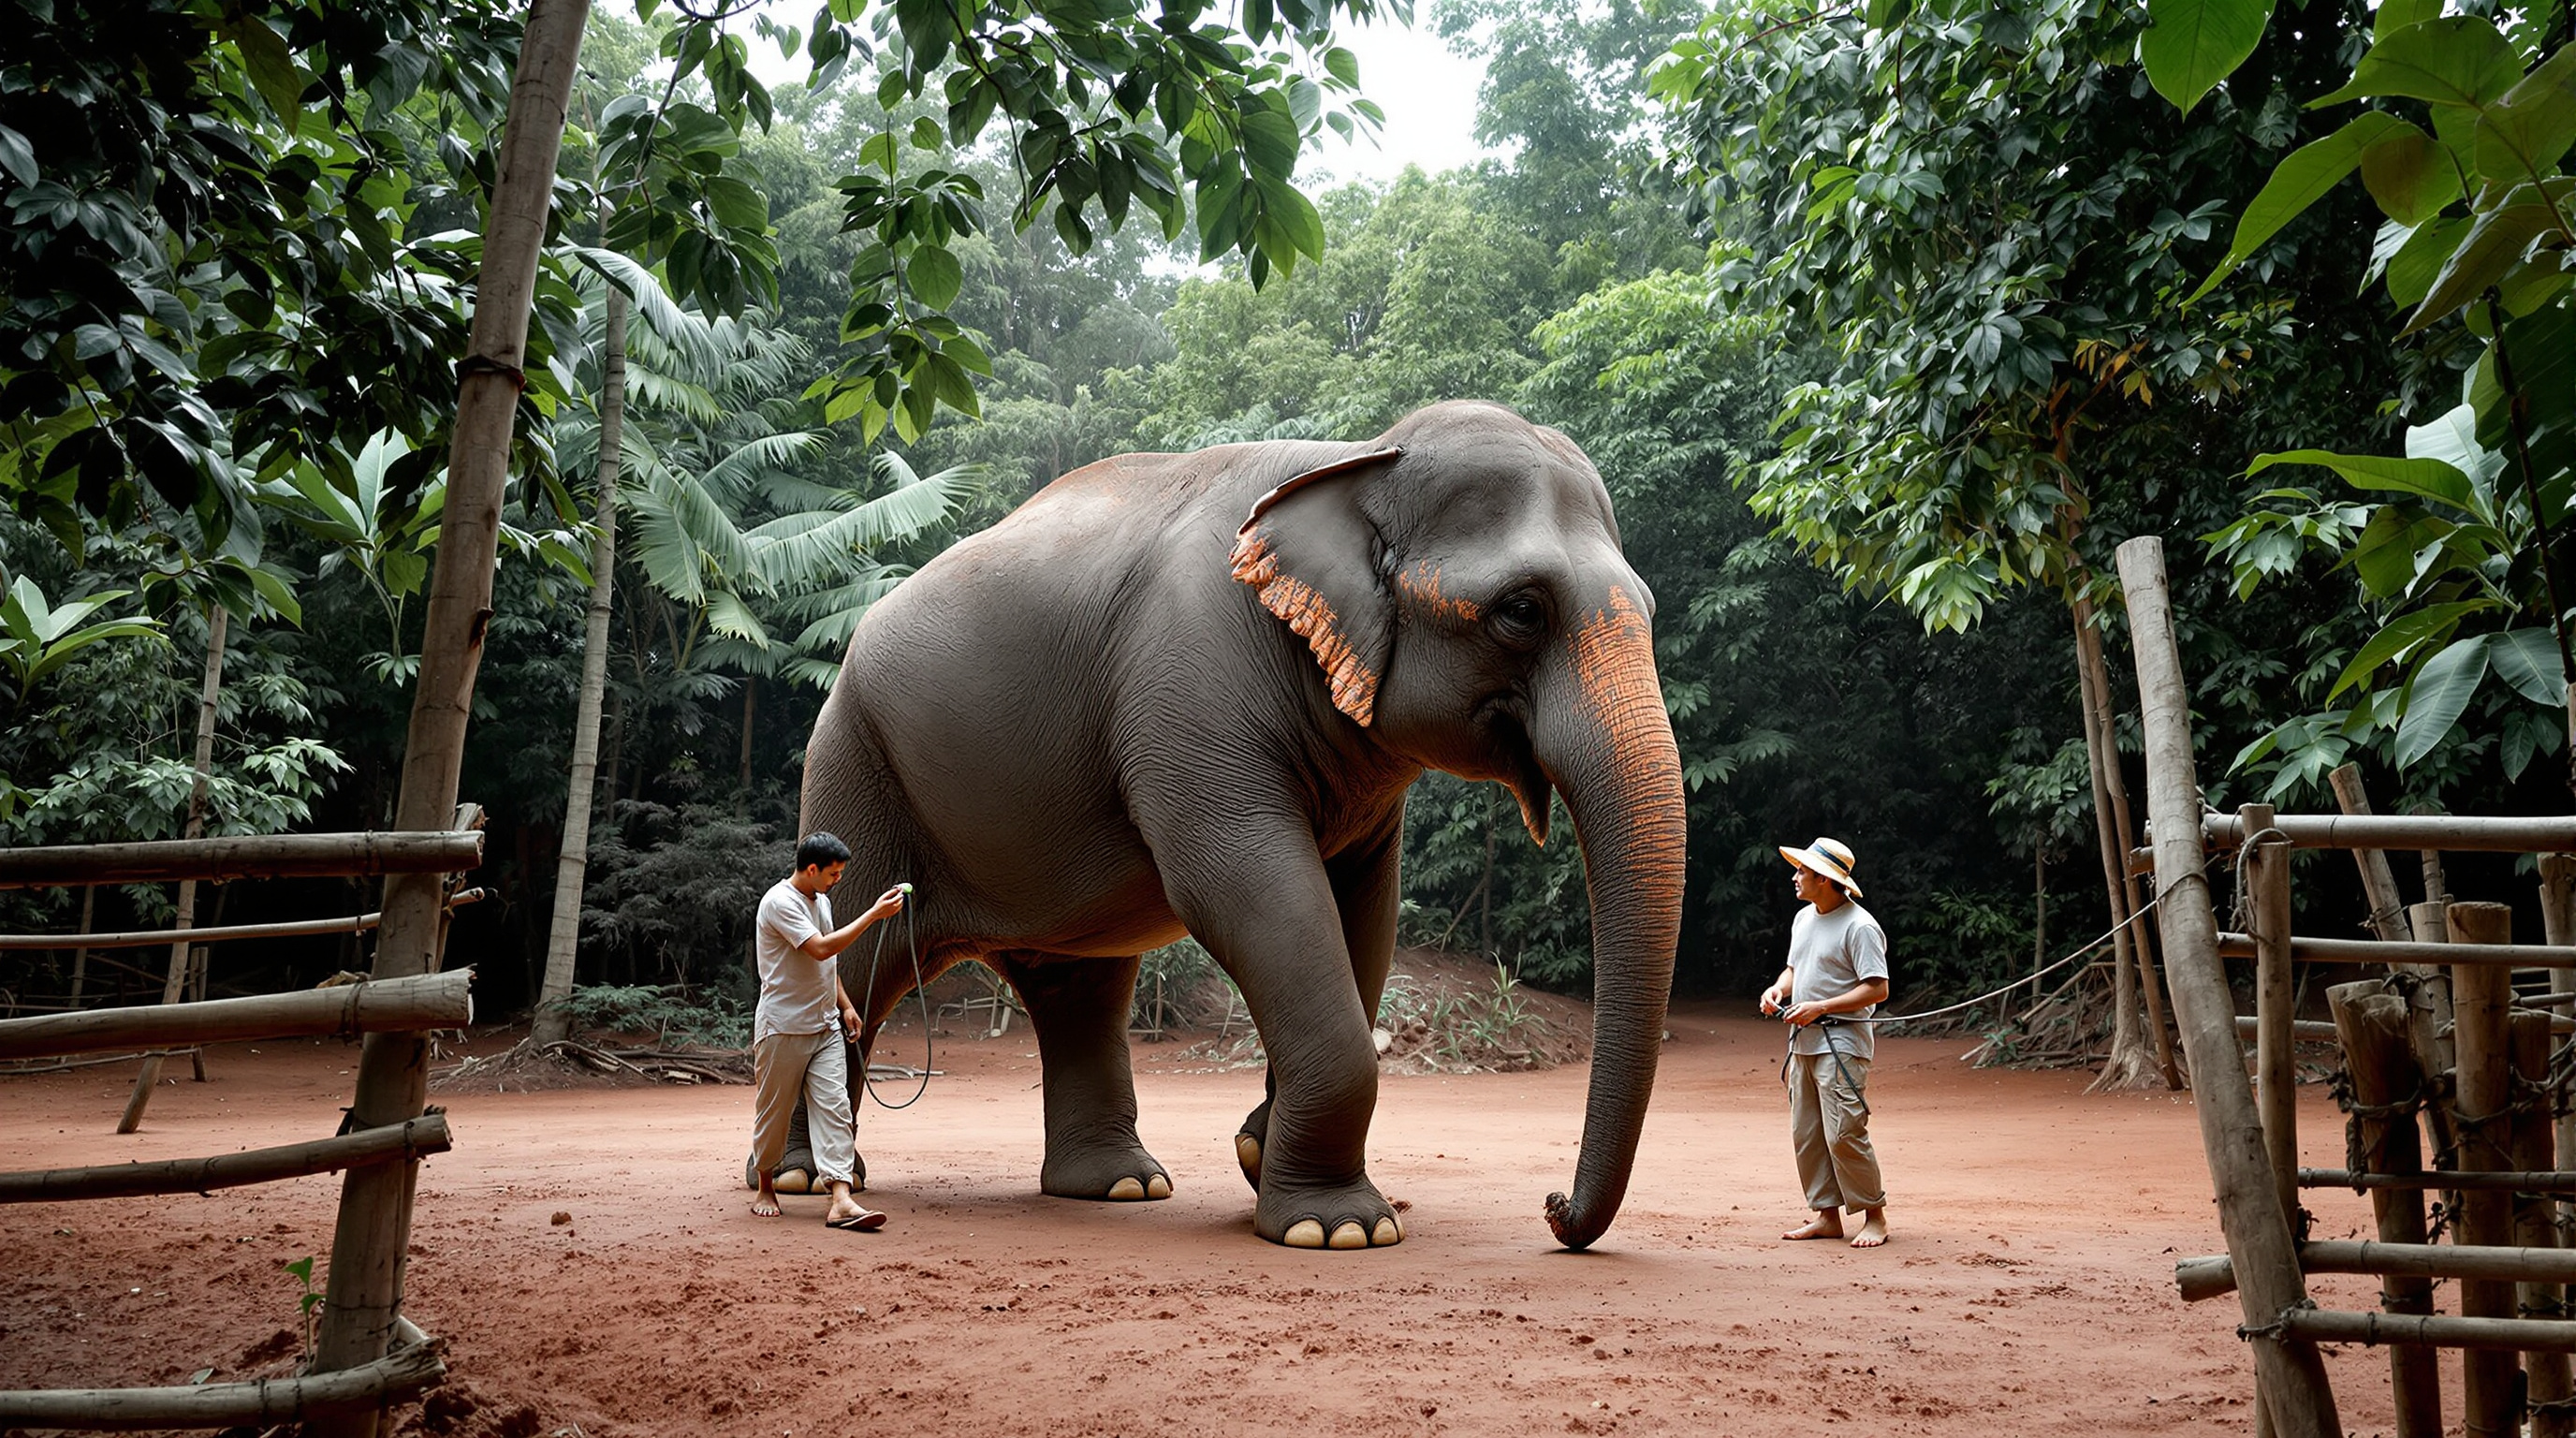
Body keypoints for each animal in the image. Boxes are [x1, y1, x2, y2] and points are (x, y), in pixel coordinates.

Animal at [802, 399, 1685, 1250]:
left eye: (1650, 607)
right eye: (1522, 610)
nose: (1553, 1208)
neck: (1362, 456)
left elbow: (1364, 910)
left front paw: (1264, 1155)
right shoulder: (1193, 682)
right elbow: (1243, 886)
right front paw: (1340, 1230)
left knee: (1078, 987)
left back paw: (1120, 1186)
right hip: (854, 762)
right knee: (857, 958)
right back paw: (809, 1182)